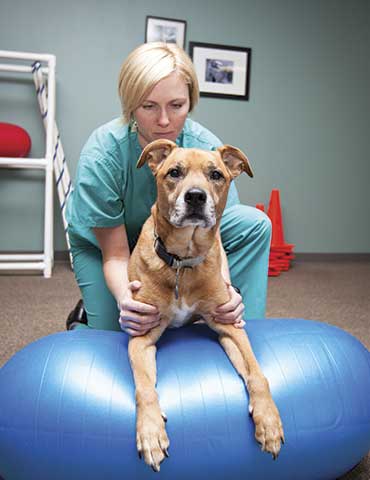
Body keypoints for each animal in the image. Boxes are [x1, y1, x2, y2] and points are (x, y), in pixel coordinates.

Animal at [127, 140, 284, 472]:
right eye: (174, 172)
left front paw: (268, 421)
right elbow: (144, 388)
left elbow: (258, 374)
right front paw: (150, 433)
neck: (182, 263)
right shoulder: (141, 336)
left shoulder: (229, 326)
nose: (196, 197)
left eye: (216, 175)